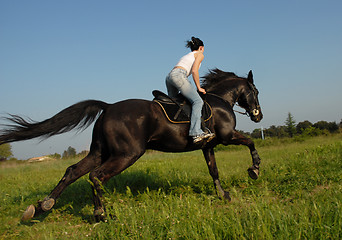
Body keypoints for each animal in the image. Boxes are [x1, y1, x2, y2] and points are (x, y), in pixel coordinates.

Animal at [0, 68, 262, 221]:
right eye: (256, 91)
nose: (258, 116)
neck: (219, 101)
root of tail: (107, 107)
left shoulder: (208, 145)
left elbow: (213, 170)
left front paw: (223, 195)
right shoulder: (227, 136)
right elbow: (250, 143)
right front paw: (254, 169)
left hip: (100, 152)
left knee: (73, 171)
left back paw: (42, 206)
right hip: (128, 154)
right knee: (96, 176)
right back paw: (101, 214)